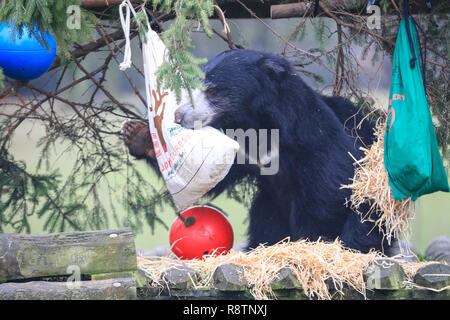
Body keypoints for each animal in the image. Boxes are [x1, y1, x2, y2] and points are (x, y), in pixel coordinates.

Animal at [123, 50, 390, 254]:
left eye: (213, 90)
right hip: (269, 202)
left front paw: (309, 245)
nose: (179, 115)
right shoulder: (243, 150)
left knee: (364, 221)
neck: (256, 124)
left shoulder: (315, 144)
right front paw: (138, 135)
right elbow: (218, 176)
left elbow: (328, 192)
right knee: (264, 218)